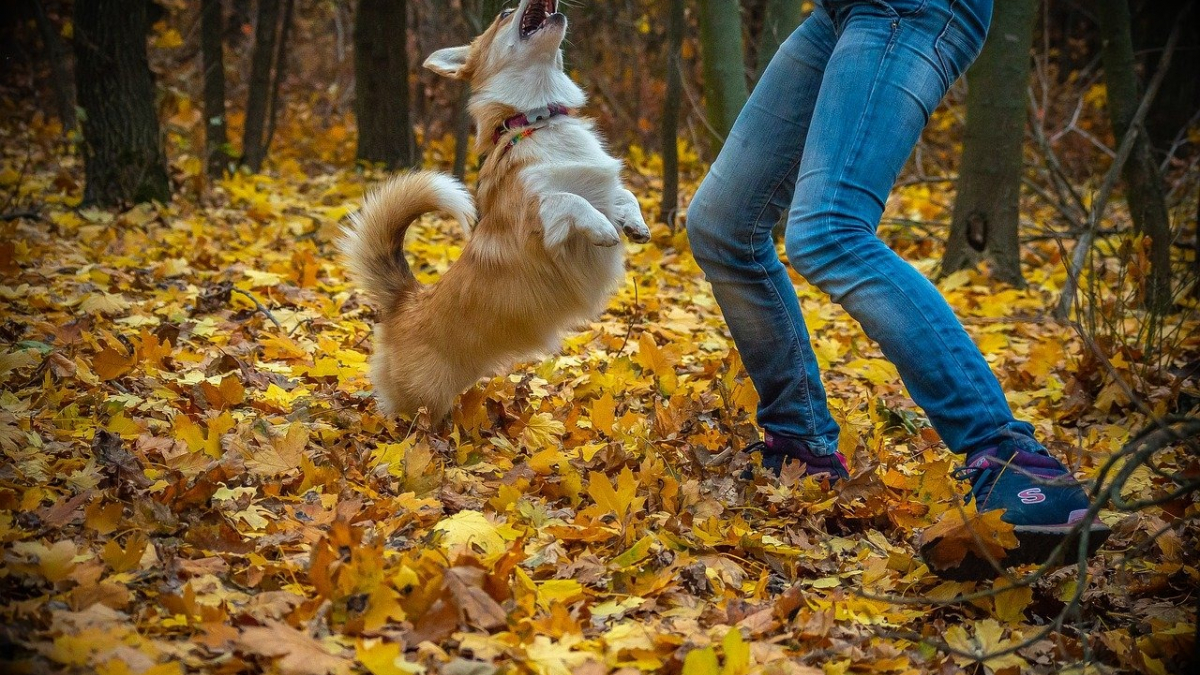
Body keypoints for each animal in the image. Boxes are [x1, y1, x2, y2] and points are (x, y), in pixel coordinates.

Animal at [343, 0, 652, 417]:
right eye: (505, 13)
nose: (520, 4)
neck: (537, 120)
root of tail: (405, 301)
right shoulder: (539, 222)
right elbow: (570, 200)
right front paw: (604, 229)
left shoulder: (604, 187)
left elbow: (624, 195)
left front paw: (634, 225)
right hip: (422, 401)